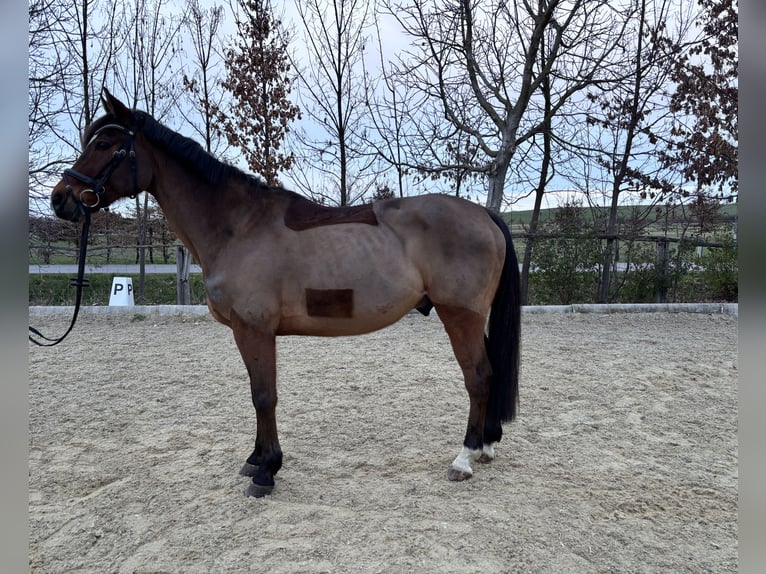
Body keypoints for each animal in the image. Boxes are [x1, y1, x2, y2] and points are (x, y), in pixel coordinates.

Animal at [50, 89, 521, 497]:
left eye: (105, 143)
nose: (60, 200)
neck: (238, 226)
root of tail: (484, 214)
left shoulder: (254, 330)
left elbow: (264, 396)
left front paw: (267, 472)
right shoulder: (248, 333)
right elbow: (256, 393)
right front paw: (256, 460)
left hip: (459, 315)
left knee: (478, 376)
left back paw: (464, 458)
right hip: (470, 317)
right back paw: (486, 446)